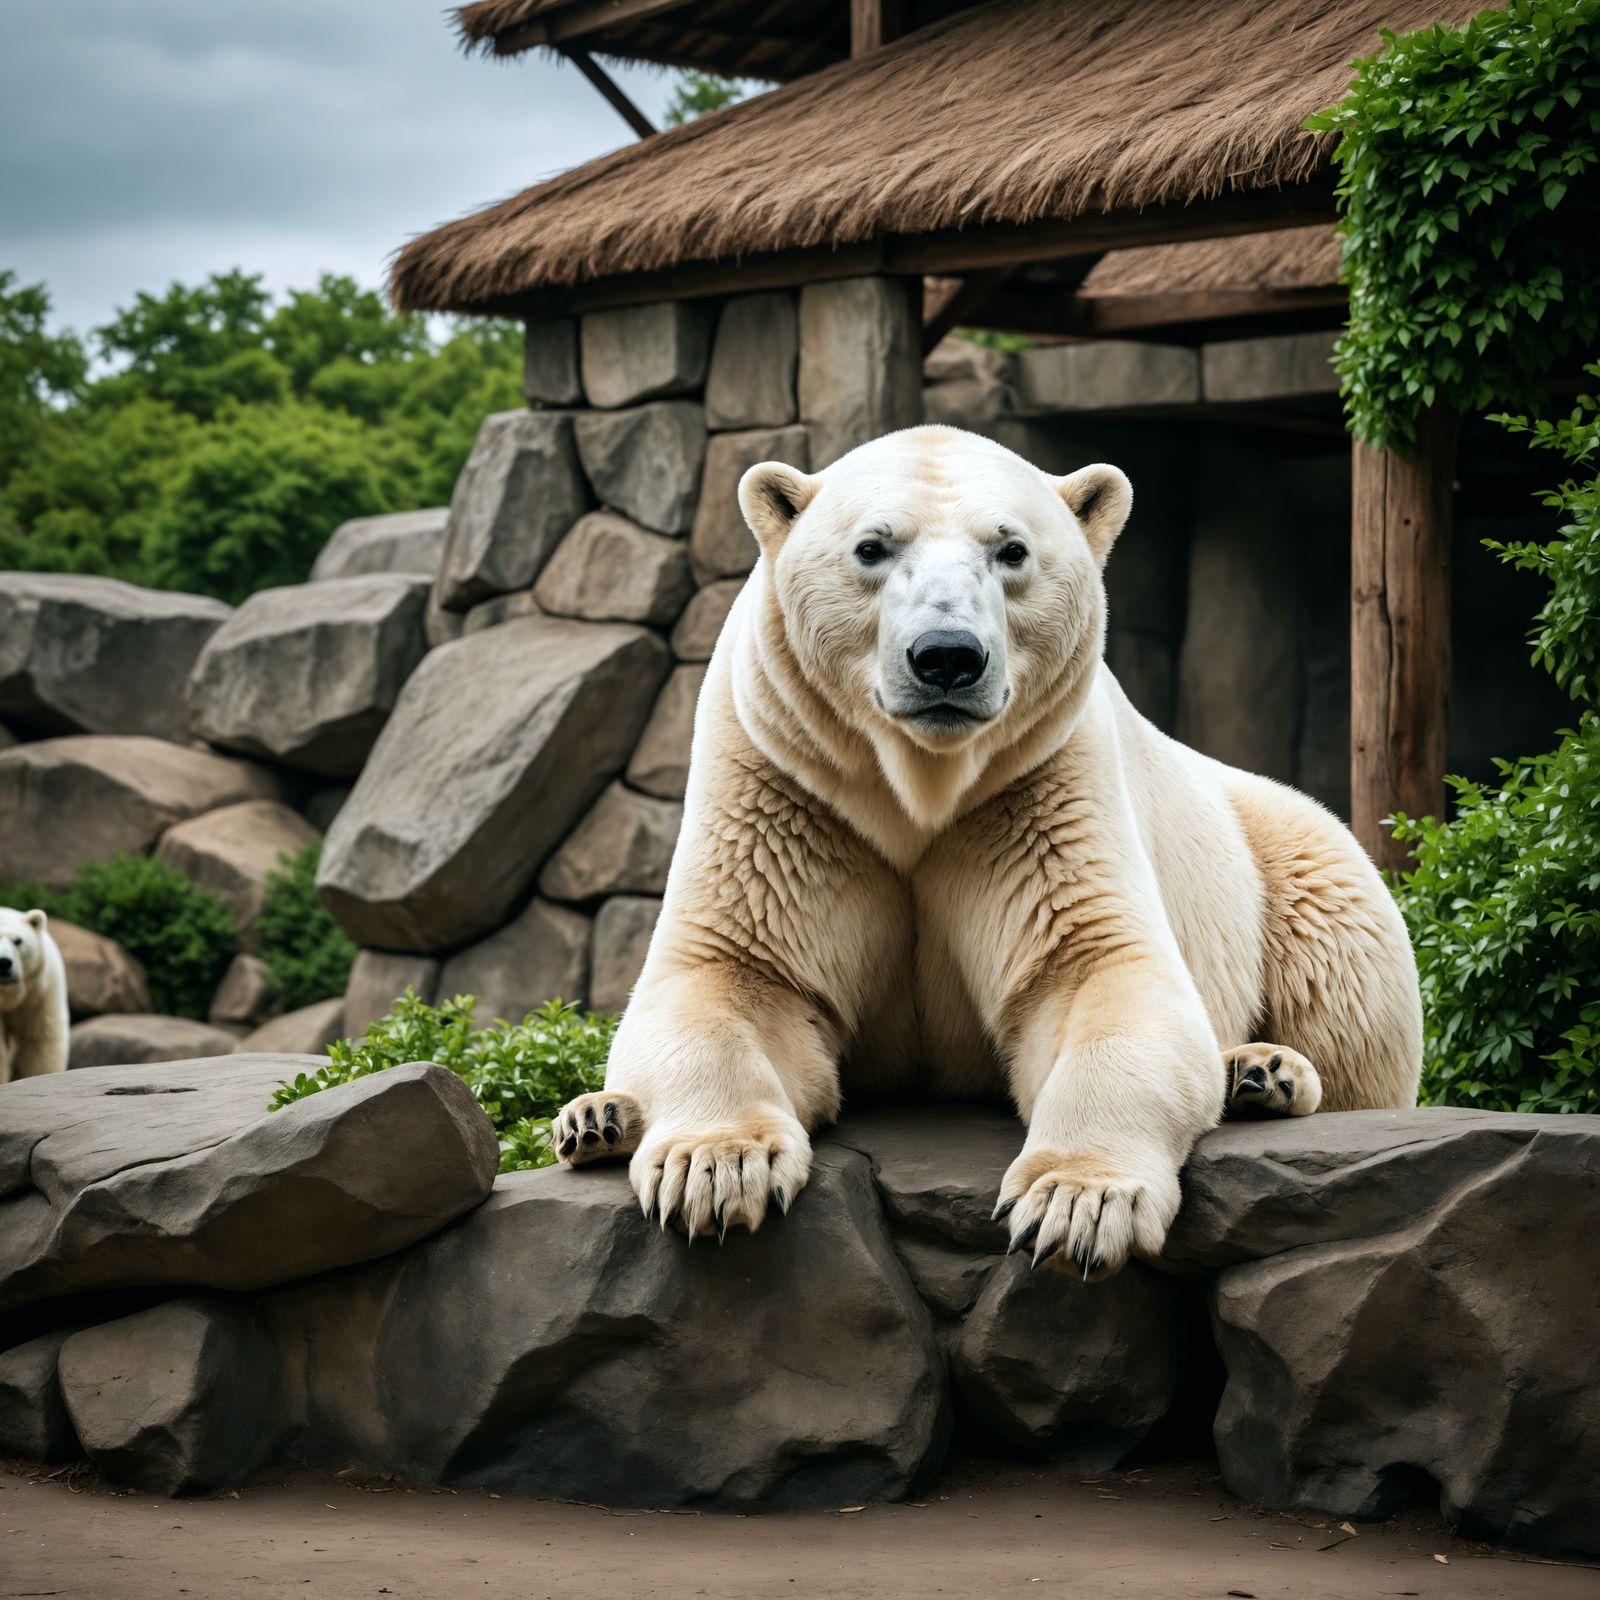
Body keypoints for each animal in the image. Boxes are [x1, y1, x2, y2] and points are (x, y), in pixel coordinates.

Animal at [553, 424, 1422, 1279]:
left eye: (1012, 550)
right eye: (872, 547)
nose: (947, 656)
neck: (921, 787)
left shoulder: (1040, 785)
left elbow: (1096, 972)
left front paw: (1076, 1205)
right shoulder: (785, 780)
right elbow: (732, 975)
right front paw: (715, 1168)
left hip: (1293, 851)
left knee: (1349, 1008)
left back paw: (1266, 1072)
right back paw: (597, 1119)